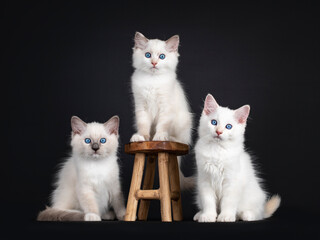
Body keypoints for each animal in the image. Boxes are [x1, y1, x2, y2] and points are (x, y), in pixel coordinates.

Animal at [129, 31, 194, 189]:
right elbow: (143, 126)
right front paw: (142, 137)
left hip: (183, 120)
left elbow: (162, 125)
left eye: (162, 56)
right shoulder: (141, 107)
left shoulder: (166, 107)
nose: (154, 63)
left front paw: (159, 137)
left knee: (182, 141)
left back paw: (169, 138)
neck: (152, 81)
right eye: (148, 55)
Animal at [192, 94, 280, 223]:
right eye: (214, 122)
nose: (219, 131)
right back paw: (199, 214)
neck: (217, 150)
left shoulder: (232, 183)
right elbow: (208, 202)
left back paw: (247, 215)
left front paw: (225, 216)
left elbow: (228, 203)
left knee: (257, 214)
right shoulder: (205, 181)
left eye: (228, 126)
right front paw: (208, 216)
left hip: (255, 197)